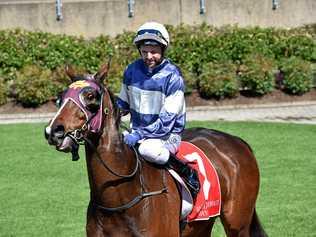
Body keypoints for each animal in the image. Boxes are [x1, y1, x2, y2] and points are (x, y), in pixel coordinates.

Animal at [43, 62, 266, 236]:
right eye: (61, 96)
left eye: (91, 96)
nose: (54, 131)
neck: (120, 198)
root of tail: (238, 141)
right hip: (201, 225)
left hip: (237, 223)